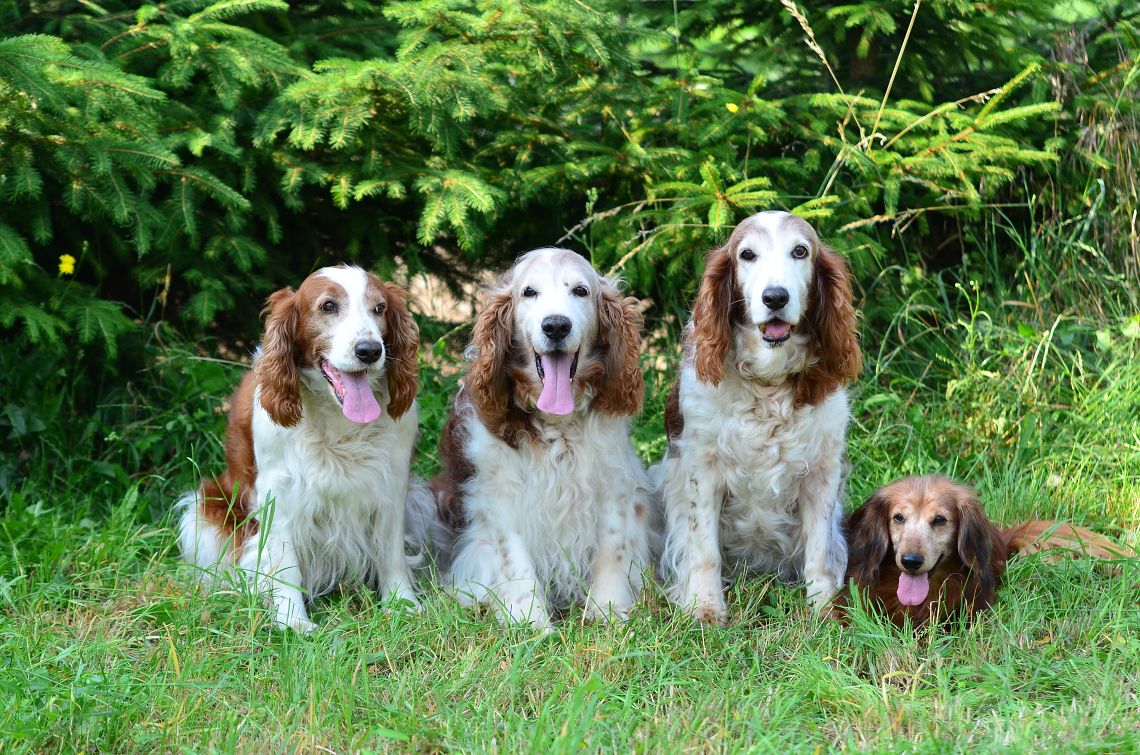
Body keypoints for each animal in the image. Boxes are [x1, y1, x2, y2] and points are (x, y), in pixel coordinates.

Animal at [177, 265, 421, 633]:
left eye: (379, 308)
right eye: (328, 306)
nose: (369, 350)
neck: (337, 421)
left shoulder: (391, 482)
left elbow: (391, 552)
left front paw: (402, 604)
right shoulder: (278, 490)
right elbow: (285, 562)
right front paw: (293, 621)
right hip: (203, 509)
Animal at [410, 248, 654, 629]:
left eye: (581, 291)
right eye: (529, 292)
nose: (555, 325)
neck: (558, 423)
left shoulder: (615, 484)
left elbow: (612, 549)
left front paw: (608, 612)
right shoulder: (501, 496)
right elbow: (516, 559)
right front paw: (530, 621)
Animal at [656, 211, 862, 624]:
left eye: (800, 251)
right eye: (747, 254)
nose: (775, 297)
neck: (768, 383)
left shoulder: (822, 472)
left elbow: (820, 552)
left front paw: (825, 610)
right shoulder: (701, 472)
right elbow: (703, 549)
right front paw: (705, 608)